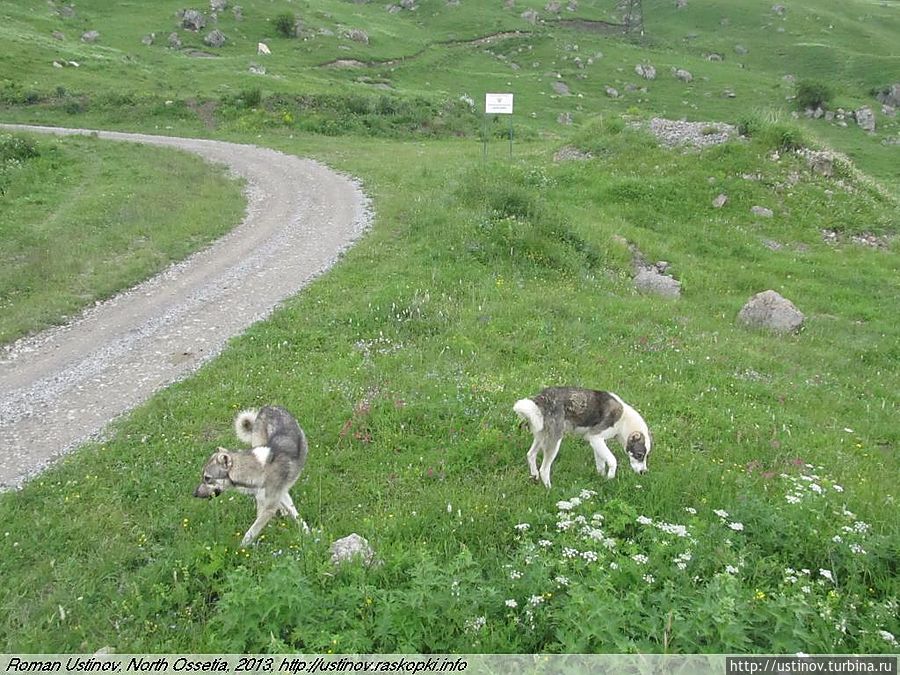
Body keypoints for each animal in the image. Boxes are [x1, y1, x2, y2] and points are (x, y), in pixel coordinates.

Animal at [512, 388, 652, 488]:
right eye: (639, 455)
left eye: (646, 456)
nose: (644, 472)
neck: (624, 422)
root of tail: (540, 399)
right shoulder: (595, 437)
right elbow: (613, 460)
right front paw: (610, 478)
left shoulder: (597, 442)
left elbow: (601, 464)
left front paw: (601, 478)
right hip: (555, 438)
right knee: (544, 469)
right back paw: (549, 489)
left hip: (541, 435)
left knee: (530, 454)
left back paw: (534, 475)